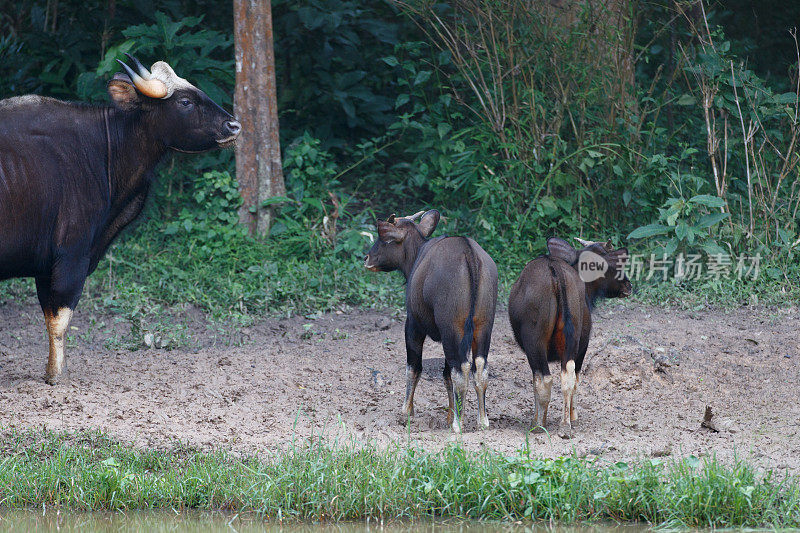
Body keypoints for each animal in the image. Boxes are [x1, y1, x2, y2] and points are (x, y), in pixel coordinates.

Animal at [364, 209, 500, 432]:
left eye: (384, 239)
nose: (366, 258)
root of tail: (470, 255)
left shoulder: (413, 325)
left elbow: (414, 368)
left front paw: (406, 412)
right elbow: (445, 375)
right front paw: (450, 415)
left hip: (452, 327)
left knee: (461, 369)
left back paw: (458, 425)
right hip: (483, 325)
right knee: (479, 368)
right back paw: (482, 420)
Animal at [510, 237, 636, 436]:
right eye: (616, 266)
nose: (628, 285)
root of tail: (555, 272)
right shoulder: (582, 345)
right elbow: (575, 380)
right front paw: (573, 419)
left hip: (535, 342)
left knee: (546, 380)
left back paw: (539, 425)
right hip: (571, 341)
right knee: (567, 377)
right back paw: (565, 425)